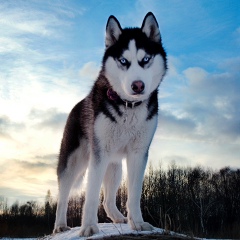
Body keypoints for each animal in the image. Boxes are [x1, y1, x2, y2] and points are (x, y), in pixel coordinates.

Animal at [54, 11, 167, 236]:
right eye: (123, 60)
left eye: (146, 59)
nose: (138, 85)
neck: (128, 106)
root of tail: (77, 105)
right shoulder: (99, 154)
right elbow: (90, 195)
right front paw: (89, 226)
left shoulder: (138, 153)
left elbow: (134, 193)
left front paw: (138, 223)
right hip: (74, 162)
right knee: (63, 195)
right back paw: (60, 225)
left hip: (114, 167)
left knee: (107, 200)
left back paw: (118, 217)